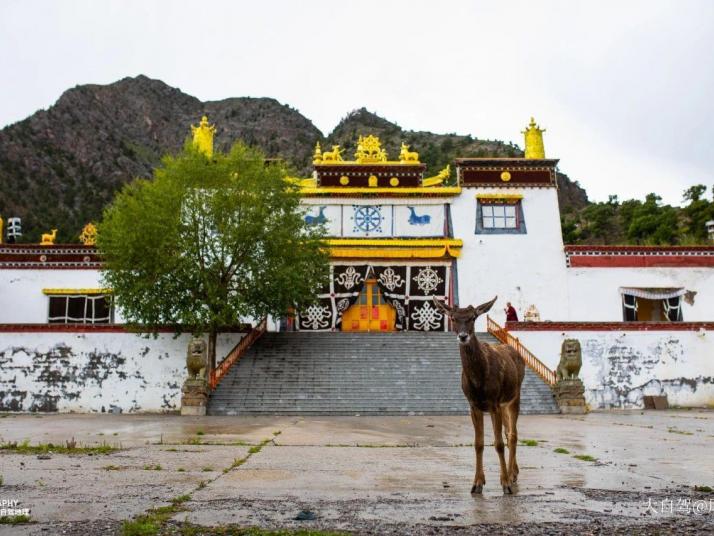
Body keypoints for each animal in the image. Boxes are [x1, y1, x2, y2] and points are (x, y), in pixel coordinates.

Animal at [432, 298, 524, 494]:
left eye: (473, 317)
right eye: (453, 317)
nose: (463, 336)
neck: (479, 381)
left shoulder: (494, 402)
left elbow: (498, 444)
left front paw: (505, 484)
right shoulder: (473, 405)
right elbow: (478, 444)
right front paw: (477, 483)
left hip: (514, 395)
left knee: (512, 434)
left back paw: (511, 476)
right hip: (503, 404)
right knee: (508, 432)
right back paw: (513, 472)